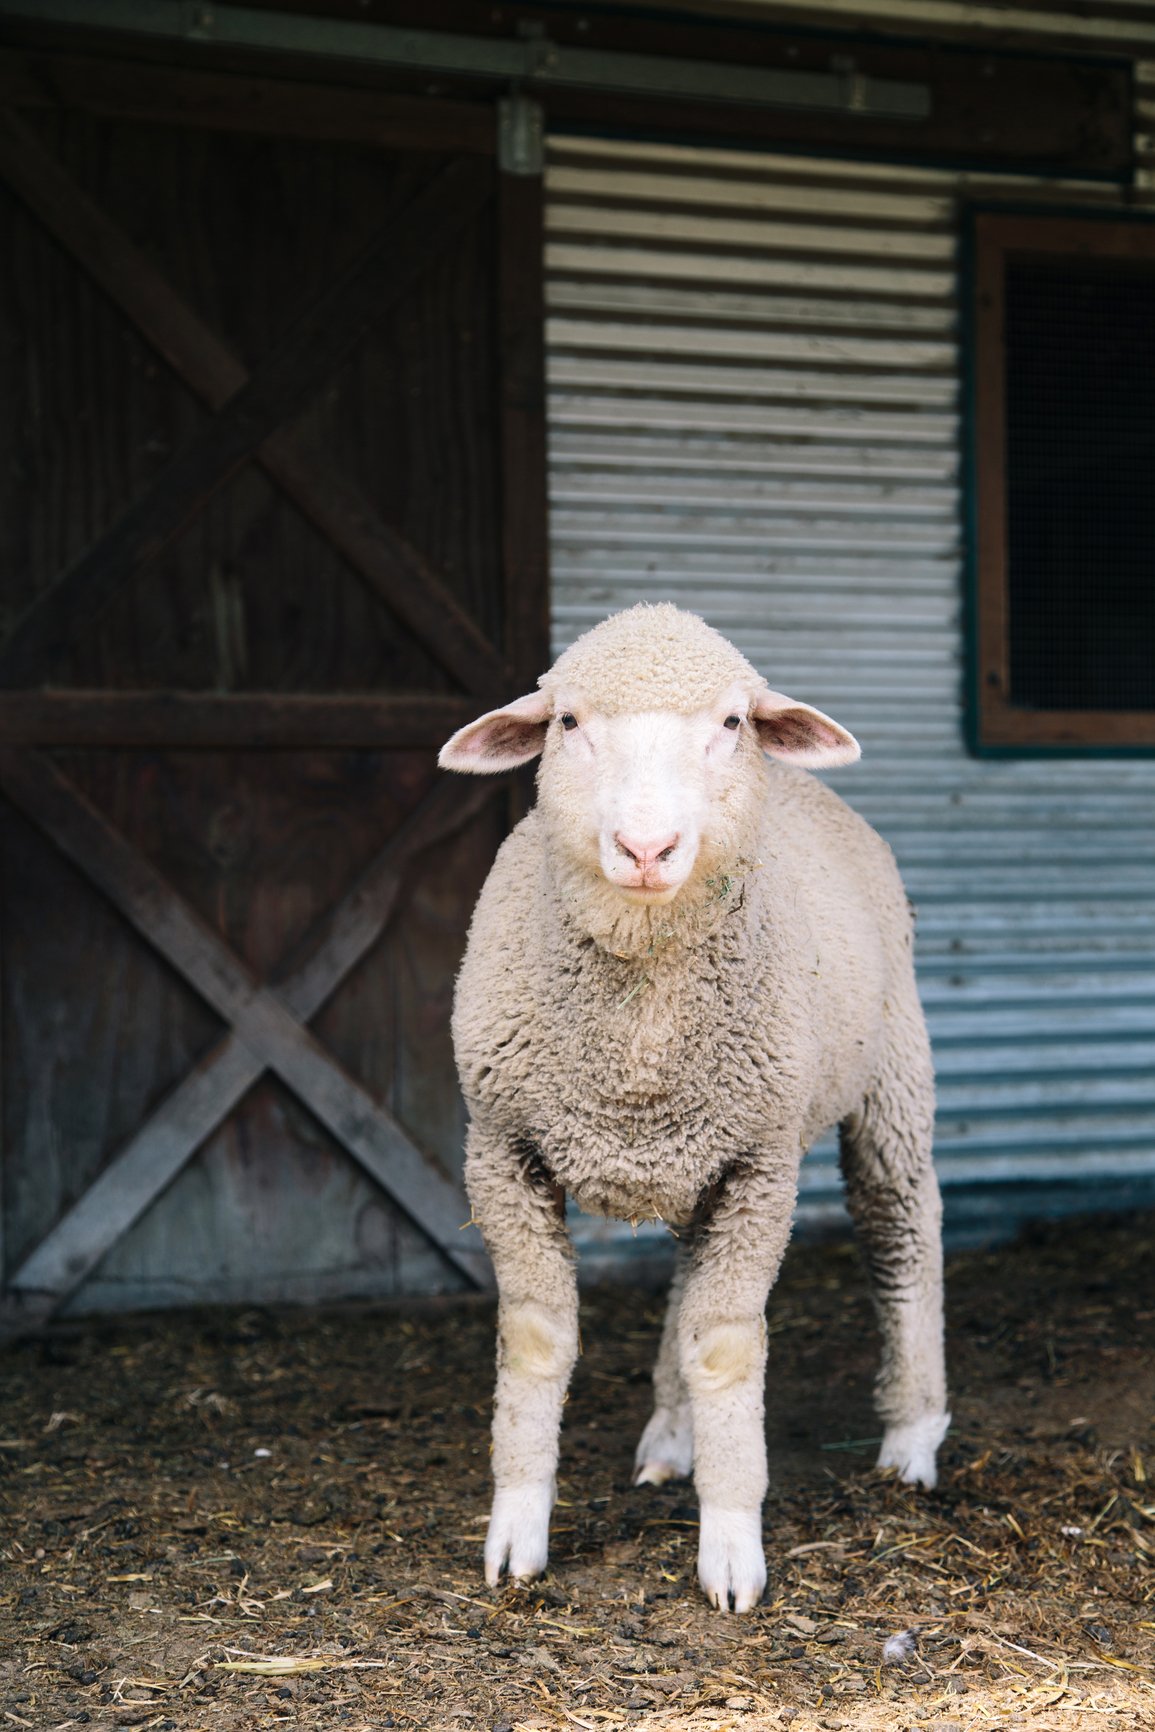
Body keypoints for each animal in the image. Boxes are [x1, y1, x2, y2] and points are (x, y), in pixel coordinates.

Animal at [439, 606, 948, 1607]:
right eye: (567, 723)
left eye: (730, 723)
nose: (646, 849)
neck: (640, 1031)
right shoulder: (501, 1148)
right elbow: (535, 1341)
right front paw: (516, 1530)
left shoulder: (759, 1166)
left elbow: (724, 1349)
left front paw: (730, 1547)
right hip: (695, 1158)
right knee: (683, 1279)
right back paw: (671, 1440)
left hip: (890, 1079)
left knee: (902, 1230)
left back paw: (911, 1439)